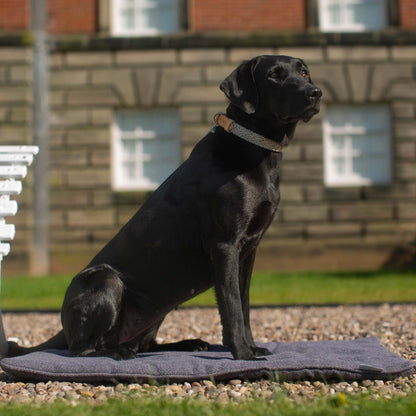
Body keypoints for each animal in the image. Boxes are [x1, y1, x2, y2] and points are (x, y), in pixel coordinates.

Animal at [8, 55, 322, 360]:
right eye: (274, 75)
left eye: (304, 72)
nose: (315, 92)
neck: (254, 148)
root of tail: (63, 327)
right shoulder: (225, 245)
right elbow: (231, 305)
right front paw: (243, 353)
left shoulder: (249, 250)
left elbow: (244, 306)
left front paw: (253, 347)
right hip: (107, 281)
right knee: (82, 349)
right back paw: (119, 352)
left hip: (159, 307)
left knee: (145, 344)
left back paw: (188, 343)